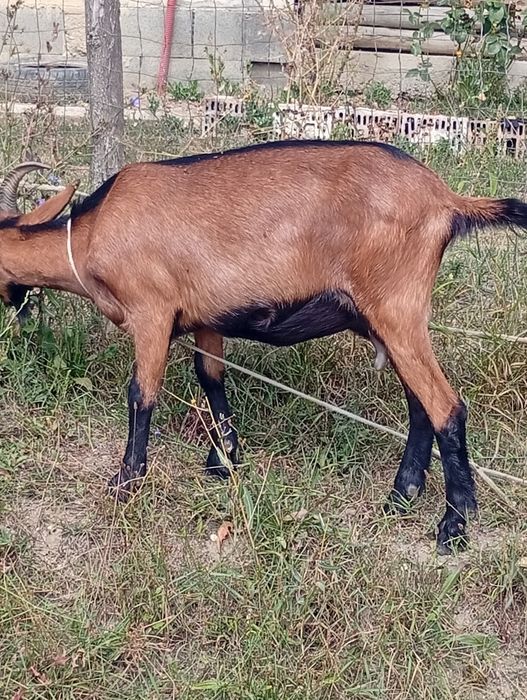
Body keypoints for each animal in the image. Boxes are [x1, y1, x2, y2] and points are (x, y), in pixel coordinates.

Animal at [1, 141, 526, 554]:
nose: (16, 310)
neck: (91, 234)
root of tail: (446, 200)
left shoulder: (151, 313)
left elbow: (141, 394)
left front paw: (126, 482)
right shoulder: (206, 319)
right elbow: (210, 377)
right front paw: (224, 460)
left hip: (397, 309)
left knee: (445, 406)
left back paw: (454, 525)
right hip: (388, 320)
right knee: (419, 405)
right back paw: (401, 495)